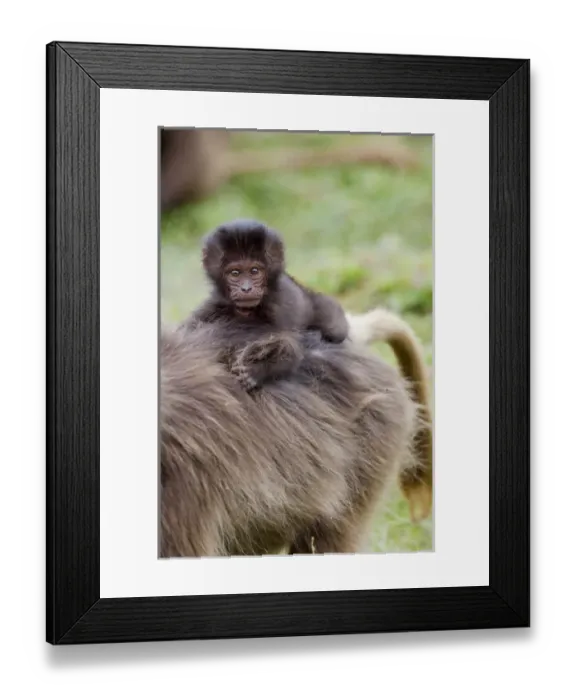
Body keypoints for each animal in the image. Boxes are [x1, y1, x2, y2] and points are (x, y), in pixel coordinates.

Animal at [181, 218, 350, 391]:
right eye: (235, 273)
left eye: (254, 271)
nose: (246, 288)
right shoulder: (213, 306)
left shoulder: (277, 306)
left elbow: (291, 348)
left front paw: (259, 369)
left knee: (335, 328)